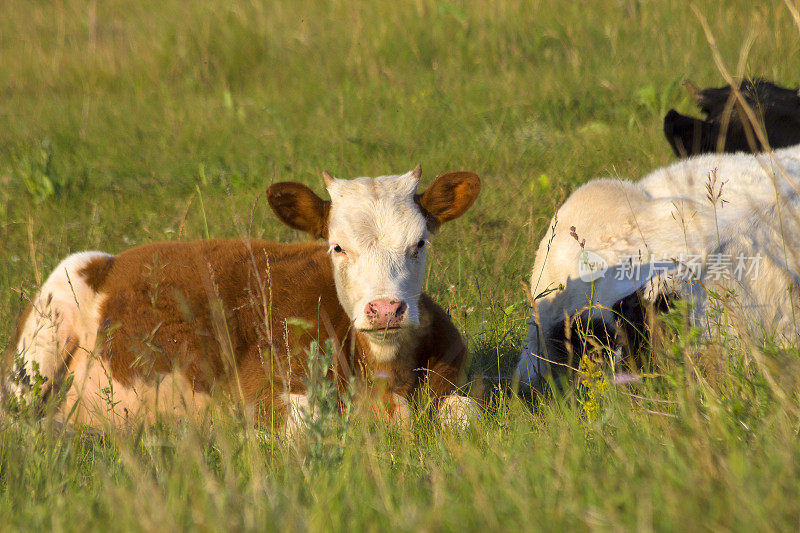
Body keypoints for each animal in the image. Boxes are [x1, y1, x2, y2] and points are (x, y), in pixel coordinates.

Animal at [3, 166, 482, 432]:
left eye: (420, 243)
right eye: (337, 247)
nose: (385, 309)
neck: (385, 372)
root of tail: (113, 258)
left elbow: (465, 416)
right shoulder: (264, 392)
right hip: (41, 342)